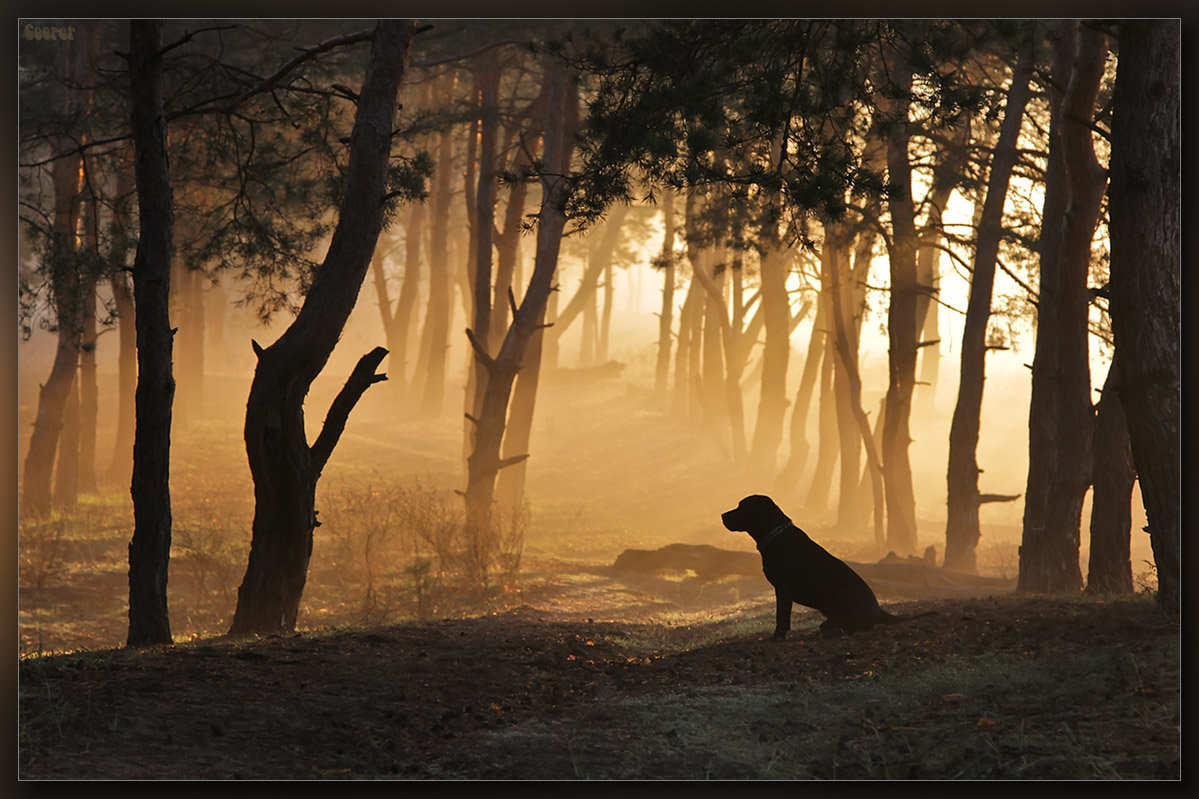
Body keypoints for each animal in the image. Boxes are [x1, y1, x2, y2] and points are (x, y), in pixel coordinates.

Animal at [719, 494, 925, 638]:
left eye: (741, 506)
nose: (722, 515)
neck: (776, 535)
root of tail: (878, 610)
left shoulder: (783, 589)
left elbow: (781, 617)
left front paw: (777, 637)